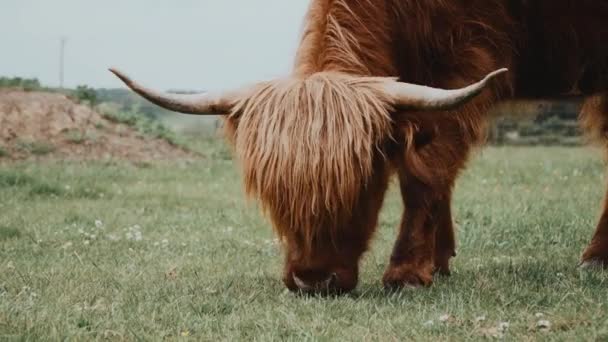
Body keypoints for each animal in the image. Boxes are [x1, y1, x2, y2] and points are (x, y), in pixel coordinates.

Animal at [110, 0, 608, 294]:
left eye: (362, 185)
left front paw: (406, 273)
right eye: (274, 197)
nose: (313, 281)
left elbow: (425, 171)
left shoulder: (467, 57)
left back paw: (595, 259)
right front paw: (439, 259)